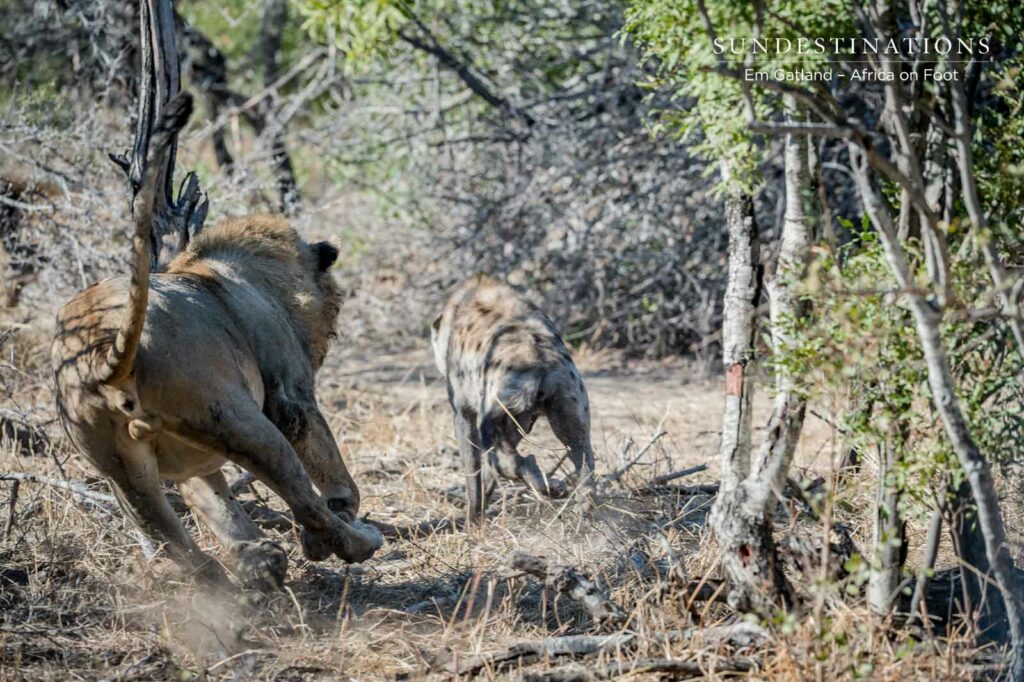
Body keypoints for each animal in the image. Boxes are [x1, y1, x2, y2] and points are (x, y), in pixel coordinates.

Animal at [51, 93, 381, 592]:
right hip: (239, 418)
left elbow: (215, 503)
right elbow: (328, 462)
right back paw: (350, 543)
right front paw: (336, 512)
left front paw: (255, 556)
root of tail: (104, 347)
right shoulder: (291, 398)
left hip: (120, 470)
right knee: (304, 499)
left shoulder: (189, 463)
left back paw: (239, 580)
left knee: (175, 544)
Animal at [431, 275, 597, 520]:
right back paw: (580, 509)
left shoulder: (463, 412)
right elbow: (489, 469)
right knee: (583, 455)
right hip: (571, 408)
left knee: (508, 460)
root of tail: (541, 360)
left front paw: (473, 518)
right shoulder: (521, 420)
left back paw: (549, 485)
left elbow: (473, 468)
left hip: (492, 411)